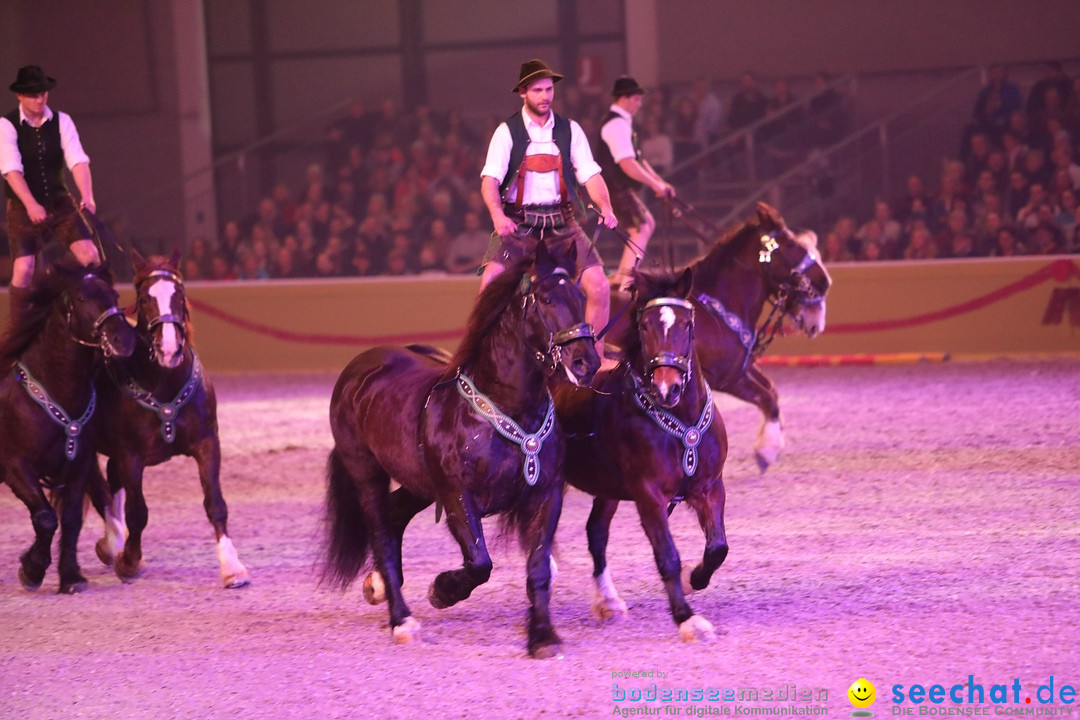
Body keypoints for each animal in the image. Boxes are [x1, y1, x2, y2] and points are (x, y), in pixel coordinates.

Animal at [0, 253, 135, 591]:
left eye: (114, 296)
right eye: (82, 298)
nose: (124, 339)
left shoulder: (80, 464)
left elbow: (71, 518)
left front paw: (71, 576)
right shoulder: (16, 466)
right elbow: (46, 517)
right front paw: (32, 569)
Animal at [87, 250, 249, 587]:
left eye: (180, 294)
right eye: (144, 298)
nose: (170, 348)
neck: (163, 381)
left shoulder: (207, 444)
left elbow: (215, 504)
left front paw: (231, 566)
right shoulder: (131, 456)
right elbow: (138, 511)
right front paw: (129, 561)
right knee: (99, 491)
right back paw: (112, 544)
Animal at [319, 241, 600, 660]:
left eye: (582, 296)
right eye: (547, 298)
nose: (586, 362)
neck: (505, 411)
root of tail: (361, 368)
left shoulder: (545, 496)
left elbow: (538, 569)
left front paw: (543, 637)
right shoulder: (457, 495)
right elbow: (480, 562)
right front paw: (441, 590)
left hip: (418, 483)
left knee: (395, 515)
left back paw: (379, 586)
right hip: (367, 475)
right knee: (382, 534)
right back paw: (401, 620)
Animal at [557, 267, 725, 639]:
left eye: (686, 325)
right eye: (645, 326)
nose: (668, 387)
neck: (681, 421)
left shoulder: (710, 487)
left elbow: (717, 548)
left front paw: (694, 578)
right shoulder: (649, 496)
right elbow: (667, 556)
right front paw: (687, 618)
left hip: (606, 490)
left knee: (596, 533)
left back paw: (608, 601)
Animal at [609, 202, 825, 472]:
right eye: (792, 245)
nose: (825, 282)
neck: (716, 310)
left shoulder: (739, 368)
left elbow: (771, 391)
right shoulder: (726, 378)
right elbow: (766, 398)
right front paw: (767, 450)